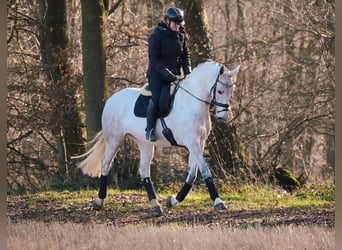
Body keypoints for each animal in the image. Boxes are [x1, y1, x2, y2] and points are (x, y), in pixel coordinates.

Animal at [75, 61, 240, 216]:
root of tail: (111, 99)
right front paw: (218, 201)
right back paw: (99, 201)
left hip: (145, 144)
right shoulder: (192, 142)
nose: (222, 118)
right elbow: (205, 171)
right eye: (220, 91)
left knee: (143, 170)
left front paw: (173, 200)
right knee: (105, 164)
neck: (191, 102)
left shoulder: (200, 142)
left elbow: (192, 174)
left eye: (231, 92)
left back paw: (155, 205)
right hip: (114, 139)